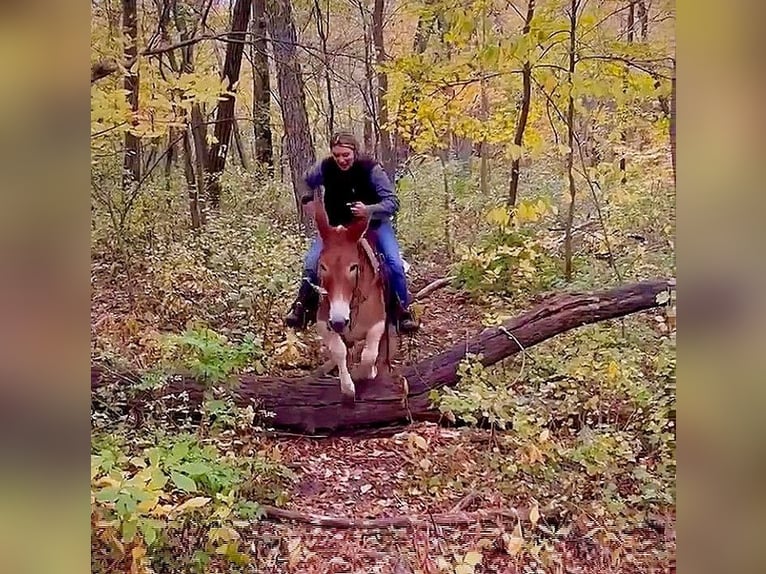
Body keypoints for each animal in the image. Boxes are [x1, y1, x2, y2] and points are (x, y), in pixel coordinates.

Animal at [312, 196, 396, 402]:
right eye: (323, 266)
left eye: (353, 267)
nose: (339, 321)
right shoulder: (323, 321)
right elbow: (339, 350)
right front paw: (348, 387)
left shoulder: (378, 322)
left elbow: (369, 355)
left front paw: (368, 373)